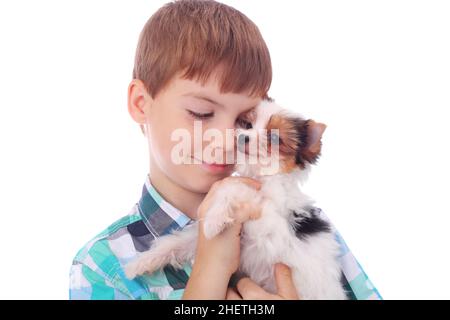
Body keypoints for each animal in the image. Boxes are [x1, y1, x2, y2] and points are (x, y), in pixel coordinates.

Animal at [126, 99, 348, 298]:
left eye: (275, 138)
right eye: (248, 125)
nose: (243, 138)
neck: (261, 177)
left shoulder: (269, 221)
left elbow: (233, 187)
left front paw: (213, 221)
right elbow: (178, 241)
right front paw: (141, 262)